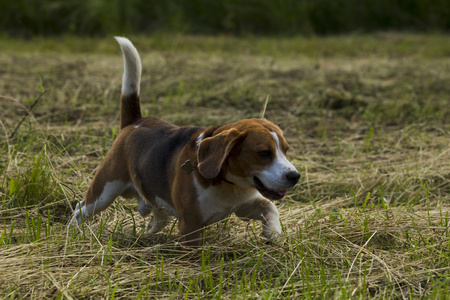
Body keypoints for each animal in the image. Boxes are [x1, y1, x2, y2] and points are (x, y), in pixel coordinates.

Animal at [70, 37, 300, 246]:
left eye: (286, 150)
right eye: (264, 153)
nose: (295, 176)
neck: (226, 184)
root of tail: (135, 122)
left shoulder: (247, 204)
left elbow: (271, 209)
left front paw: (273, 234)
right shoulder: (190, 225)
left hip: (151, 196)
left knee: (158, 214)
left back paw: (148, 233)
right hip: (104, 191)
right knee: (81, 209)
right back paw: (71, 233)